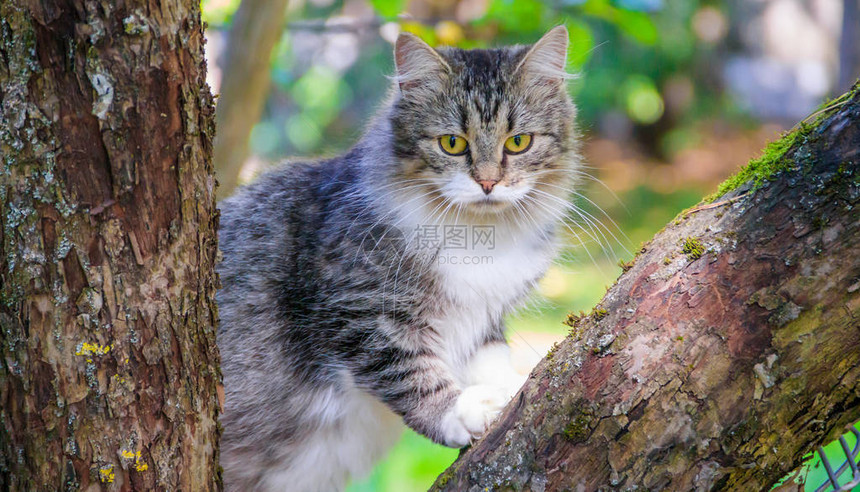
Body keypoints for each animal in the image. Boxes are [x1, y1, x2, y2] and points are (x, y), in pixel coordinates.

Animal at [215, 25, 580, 490]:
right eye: (452, 144)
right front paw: (460, 410)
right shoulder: (362, 313)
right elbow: (412, 375)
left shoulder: (484, 313)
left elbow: (489, 357)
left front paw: (511, 389)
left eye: (518, 142)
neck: (480, 237)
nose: (487, 183)